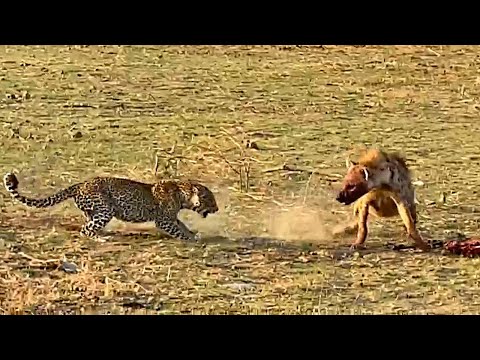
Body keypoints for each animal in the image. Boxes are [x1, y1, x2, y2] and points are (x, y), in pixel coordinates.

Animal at [1, 174, 218, 243]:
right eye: (210, 199)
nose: (216, 209)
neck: (183, 195)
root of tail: (80, 184)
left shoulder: (172, 217)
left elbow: (182, 225)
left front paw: (193, 234)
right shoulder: (164, 220)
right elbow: (178, 230)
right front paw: (193, 240)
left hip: (94, 211)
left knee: (88, 224)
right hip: (105, 210)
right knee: (85, 230)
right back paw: (100, 238)